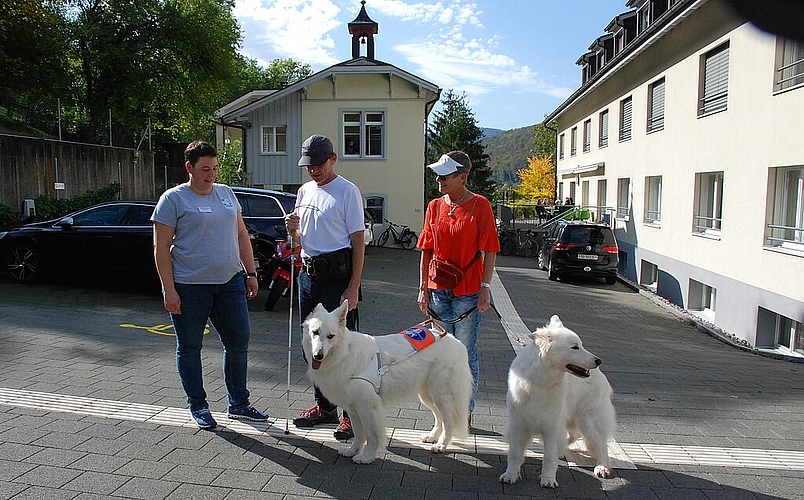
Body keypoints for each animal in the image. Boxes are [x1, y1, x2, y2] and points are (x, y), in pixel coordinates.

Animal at [304, 298, 474, 462]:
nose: (318, 356)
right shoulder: (353, 408)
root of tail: (456, 342)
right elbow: (359, 434)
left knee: (448, 422)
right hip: (427, 397)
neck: (344, 353)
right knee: (439, 417)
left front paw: (366, 457)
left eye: (330, 336)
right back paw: (432, 437)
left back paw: (441, 445)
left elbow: (371, 436)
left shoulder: (367, 407)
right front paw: (352, 451)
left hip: (441, 396)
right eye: (315, 332)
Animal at [496, 316, 616, 488]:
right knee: (573, 435)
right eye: (574, 347)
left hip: (588, 422)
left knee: (601, 445)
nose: (598, 360)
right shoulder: (518, 425)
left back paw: (602, 467)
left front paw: (548, 479)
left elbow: (549, 457)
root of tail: (601, 374)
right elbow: (515, 454)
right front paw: (511, 474)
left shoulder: (552, 427)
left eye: (580, 345)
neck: (540, 383)